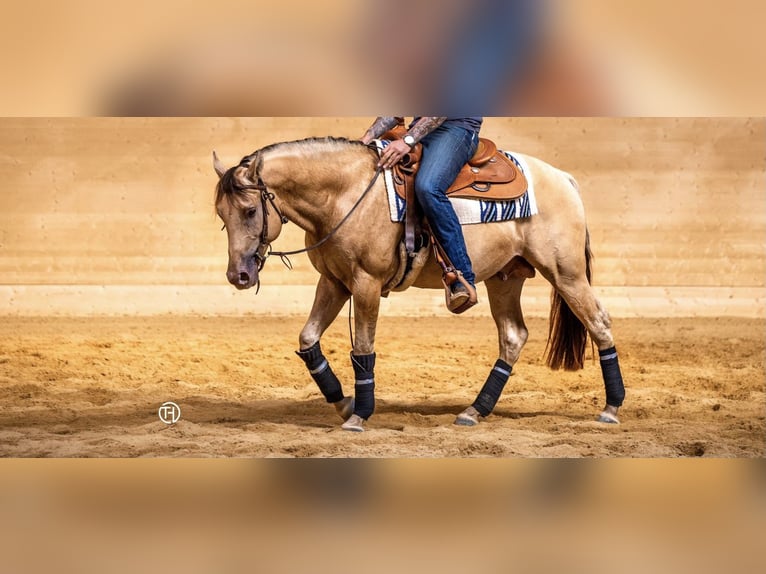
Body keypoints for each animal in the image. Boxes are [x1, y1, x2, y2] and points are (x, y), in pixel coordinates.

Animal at [212, 136, 625, 432]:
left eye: (250, 211)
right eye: (221, 214)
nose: (239, 276)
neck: (347, 194)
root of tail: (562, 178)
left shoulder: (365, 283)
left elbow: (363, 348)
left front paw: (360, 415)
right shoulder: (333, 282)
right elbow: (308, 339)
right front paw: (344, 402)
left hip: (566, 273)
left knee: (599, 323)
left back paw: (611, 408)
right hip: (504, 278)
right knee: (513, 335)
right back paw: (474, 410)